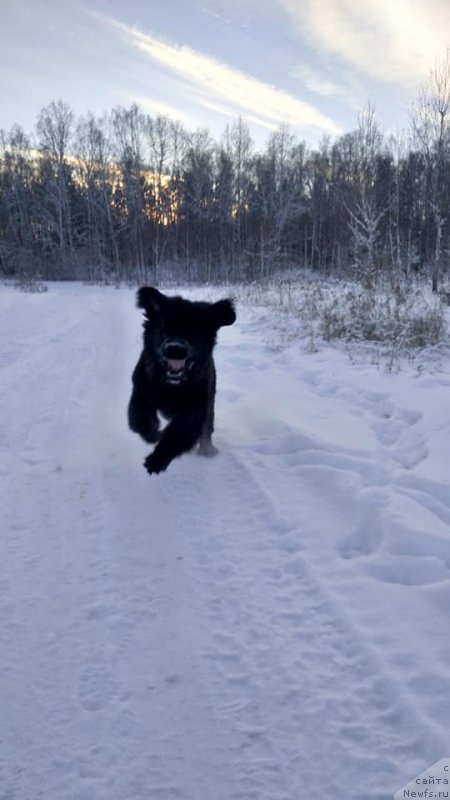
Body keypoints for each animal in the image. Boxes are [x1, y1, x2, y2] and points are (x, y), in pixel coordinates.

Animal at [127, 288, 236, 476]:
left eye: (193, 331)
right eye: (164, 328)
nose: (175, 348)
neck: (172, 387)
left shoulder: (196, 407)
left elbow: (178, 433)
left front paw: (157, 459)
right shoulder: (141, 390)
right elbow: (139, 418)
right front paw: (154, 433)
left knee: (207, 428)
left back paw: (207, 449)